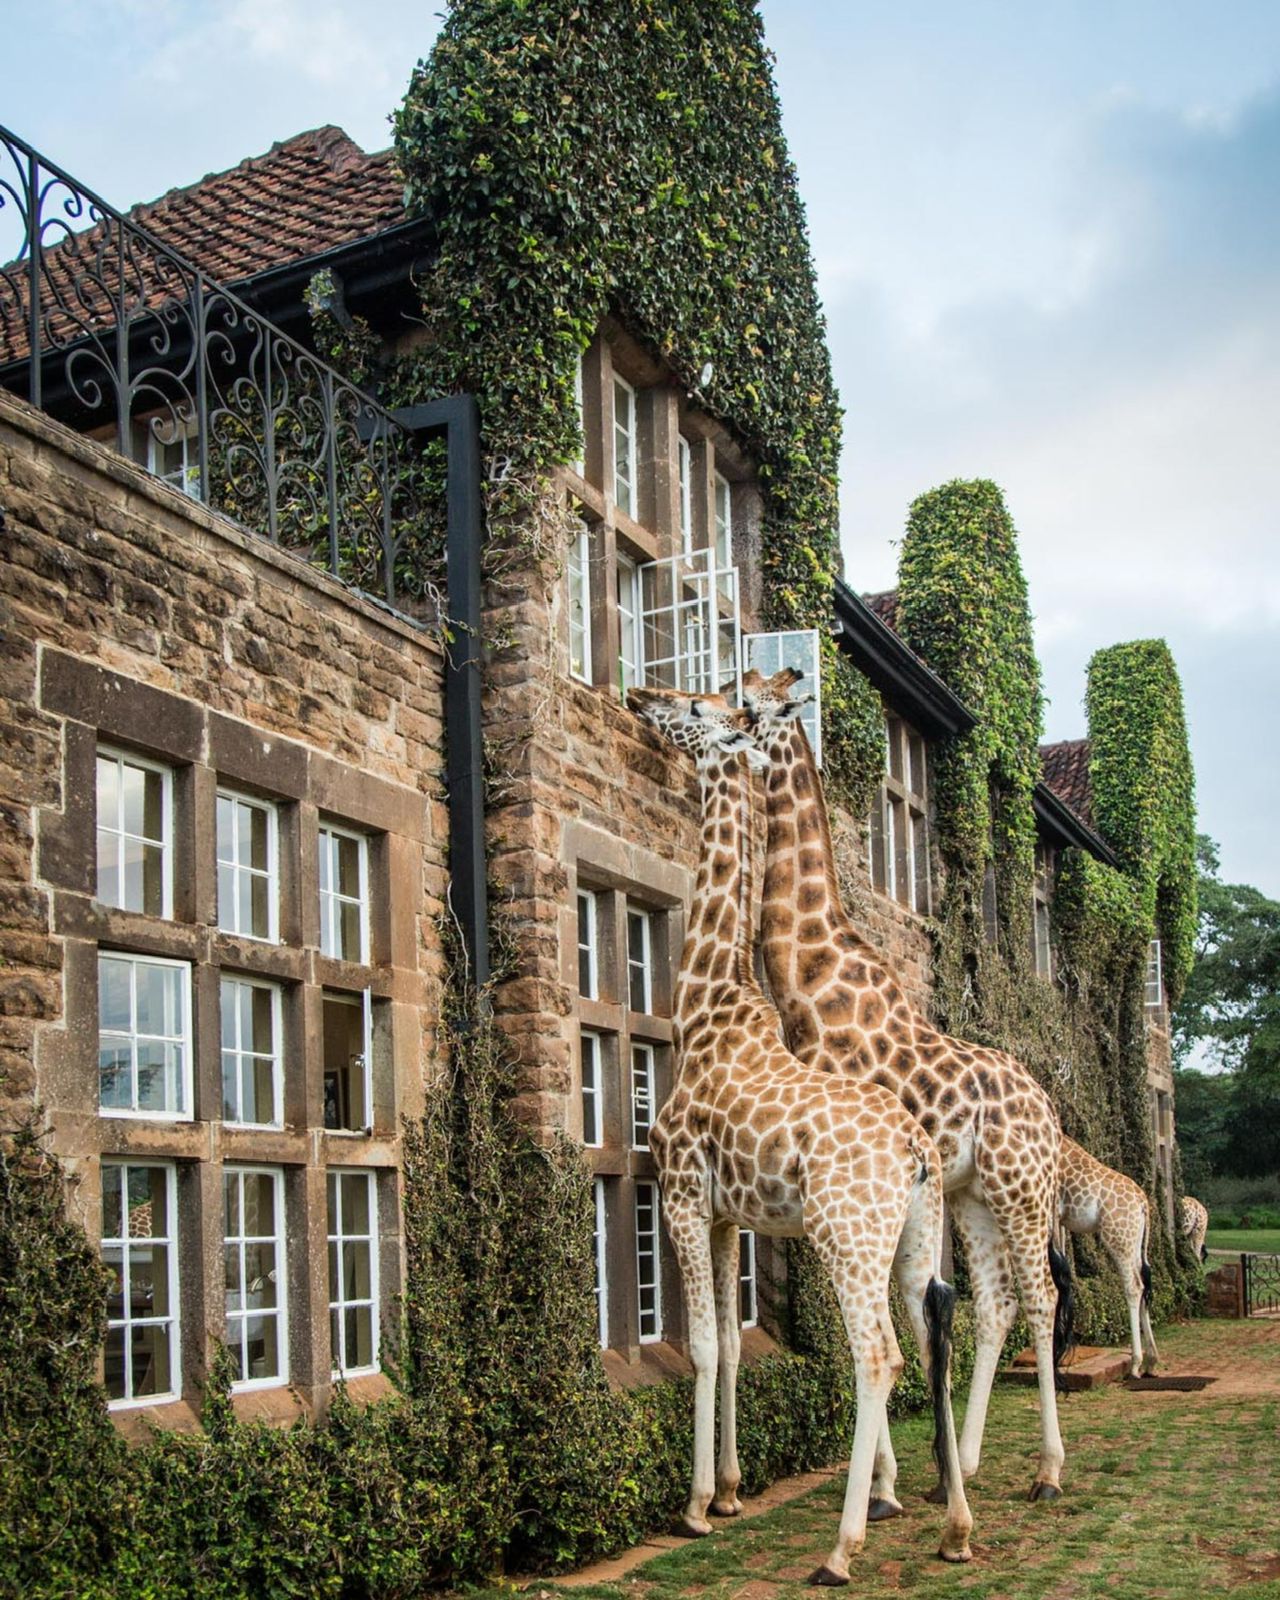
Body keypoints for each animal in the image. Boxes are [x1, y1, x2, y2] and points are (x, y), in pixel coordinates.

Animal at [627, 685, 972, 1584]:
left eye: (695, 707)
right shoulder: (726, 1215)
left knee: (878, 1356)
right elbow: (732, 1345)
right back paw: (955, 1527)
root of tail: (917, 1153)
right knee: (929, 1338)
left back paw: (842, 1549)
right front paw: (730, 1492)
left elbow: (703, 1346)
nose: (639, 694)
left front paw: (693, 1509)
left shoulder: (681, 1193)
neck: (705, 1006)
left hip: (844, 1235)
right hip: (913, 1237)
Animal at [741, 668, 1073, 1502]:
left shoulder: (850, 1176)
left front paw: (880, 1486)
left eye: (746, 702)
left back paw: (1048, 1471)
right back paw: (970, 1463)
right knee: (997, 1304)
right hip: (974, 1194)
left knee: (1042, 1297)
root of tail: (1051, 1111)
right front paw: (899, 1477)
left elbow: (874, 1319)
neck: (811, 983)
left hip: (1021, 1190)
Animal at [1057, 1136, 1159, 1378]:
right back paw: (1151, 1361)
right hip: (1134, 1243)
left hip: (1118, 1238)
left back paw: (1136, 1364)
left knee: (1134, 1287)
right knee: (1144, 1284)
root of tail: (1143, 1204)